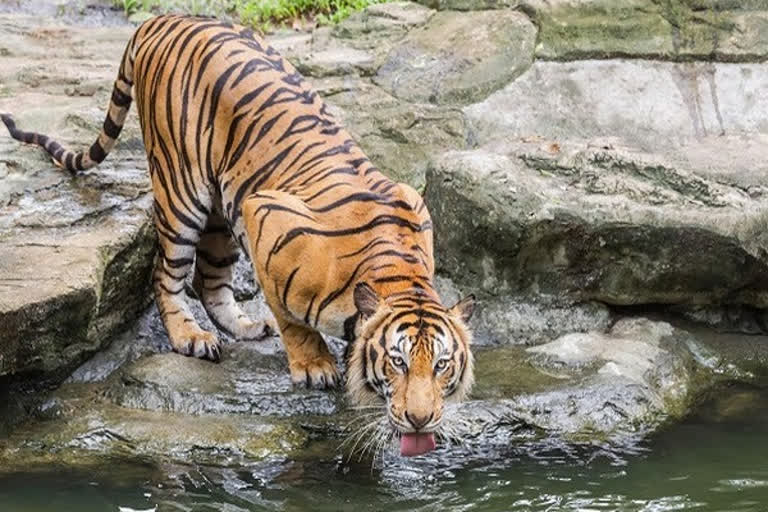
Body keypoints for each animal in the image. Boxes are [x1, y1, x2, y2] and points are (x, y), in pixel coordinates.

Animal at [1, 15, 474, 456]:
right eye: (397, 362)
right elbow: (290, 319)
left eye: (441, 365)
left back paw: (246, 327)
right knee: (167, 274)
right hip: (182, 190)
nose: (420, 419)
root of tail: (162, 19)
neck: (399, 274)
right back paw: (191, 338)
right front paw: (315, 366)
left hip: (220, 208)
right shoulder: (264, 214)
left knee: (209, 280)